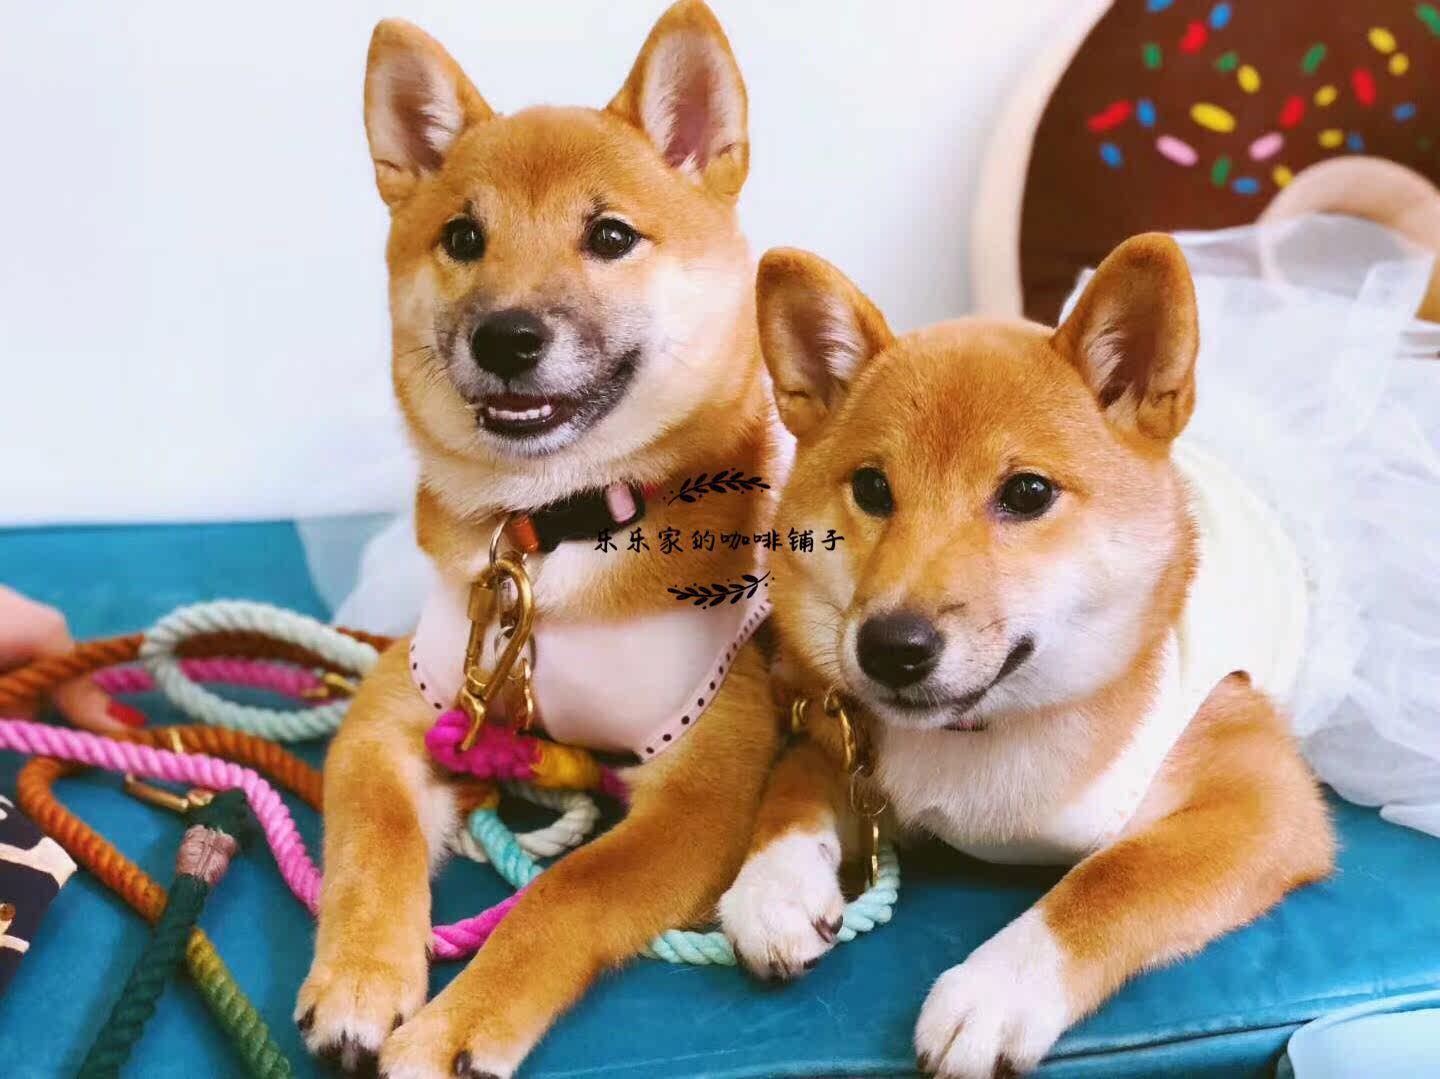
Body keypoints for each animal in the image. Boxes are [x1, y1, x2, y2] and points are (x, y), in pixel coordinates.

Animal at [297, 5, 789, 1075]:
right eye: (463, 237)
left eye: (610, 235)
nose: (507, 337)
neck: (552, 534)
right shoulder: (403, 706)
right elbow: (371, 841)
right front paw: (358, 974)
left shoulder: (701, 785)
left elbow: (569, 893)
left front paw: (459, 1023)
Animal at [718, 236, 1336, 1077]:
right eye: (872, 488)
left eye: (1028, 493)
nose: (891, 648)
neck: (987, 736)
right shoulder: (843, 732)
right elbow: (793, 778)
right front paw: (773, 880)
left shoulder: (1265, 800)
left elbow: (1115, 876)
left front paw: (998, 987)